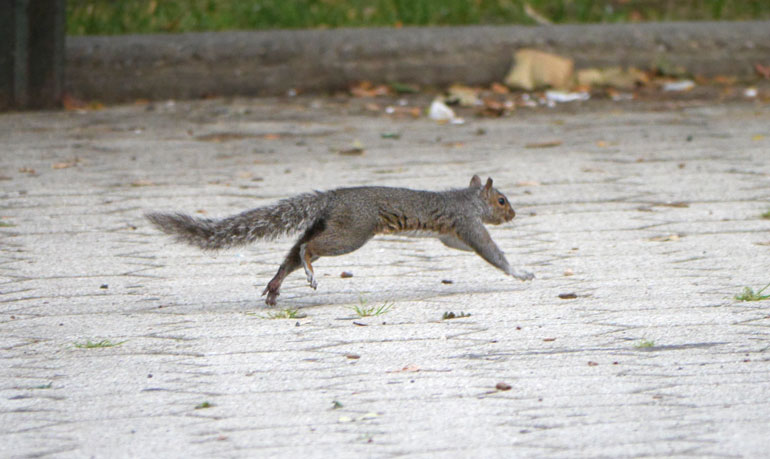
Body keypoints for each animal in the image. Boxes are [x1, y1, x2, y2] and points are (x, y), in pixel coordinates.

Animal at [144, 175, 532, 306]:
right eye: (502, 200)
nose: (514, 215)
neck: (468, 200)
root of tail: (330, 198)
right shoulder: (467, 223)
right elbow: (490, 251)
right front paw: (520, 273)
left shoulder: (452, 234)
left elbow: (459, 246)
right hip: (351, 233)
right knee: (307, 249)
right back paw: (308, 271)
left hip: (326, 226)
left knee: (291, 254)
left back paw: (275, 286)